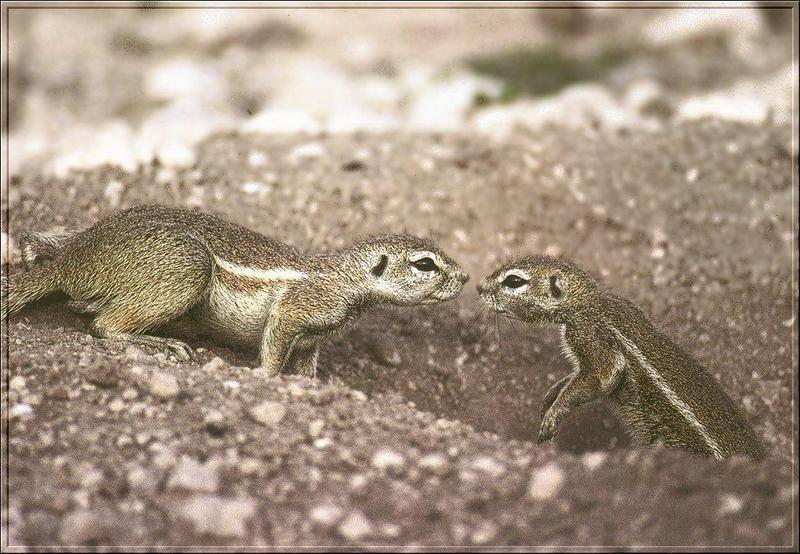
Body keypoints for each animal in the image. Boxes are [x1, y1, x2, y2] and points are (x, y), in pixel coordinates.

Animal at [4, 205, 468, 378]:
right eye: (425, 264)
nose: (464, 278)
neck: (346, 280)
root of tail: (73, 264)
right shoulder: (298, 308)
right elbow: (277, 340)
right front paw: (265, 376)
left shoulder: (314, 336)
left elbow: (308, 361)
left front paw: (311, 385)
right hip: (188, 267)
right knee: (103, 324)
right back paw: (160, 343)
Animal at [478, 254, 764, 458]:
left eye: (514, 281)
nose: (480, 287)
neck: (589, 301)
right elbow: (575, 377)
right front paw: (553, 393)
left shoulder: (591, 336)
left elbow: (603, 375)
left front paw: (554, 414)